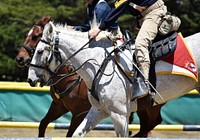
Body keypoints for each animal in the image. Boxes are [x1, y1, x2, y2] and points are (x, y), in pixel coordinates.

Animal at [27, 21, 200, 136]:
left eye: (40, 51)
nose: (30, 78)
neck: (99, 64)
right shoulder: (98, 110)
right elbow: (75, 134)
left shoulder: (118, 114)